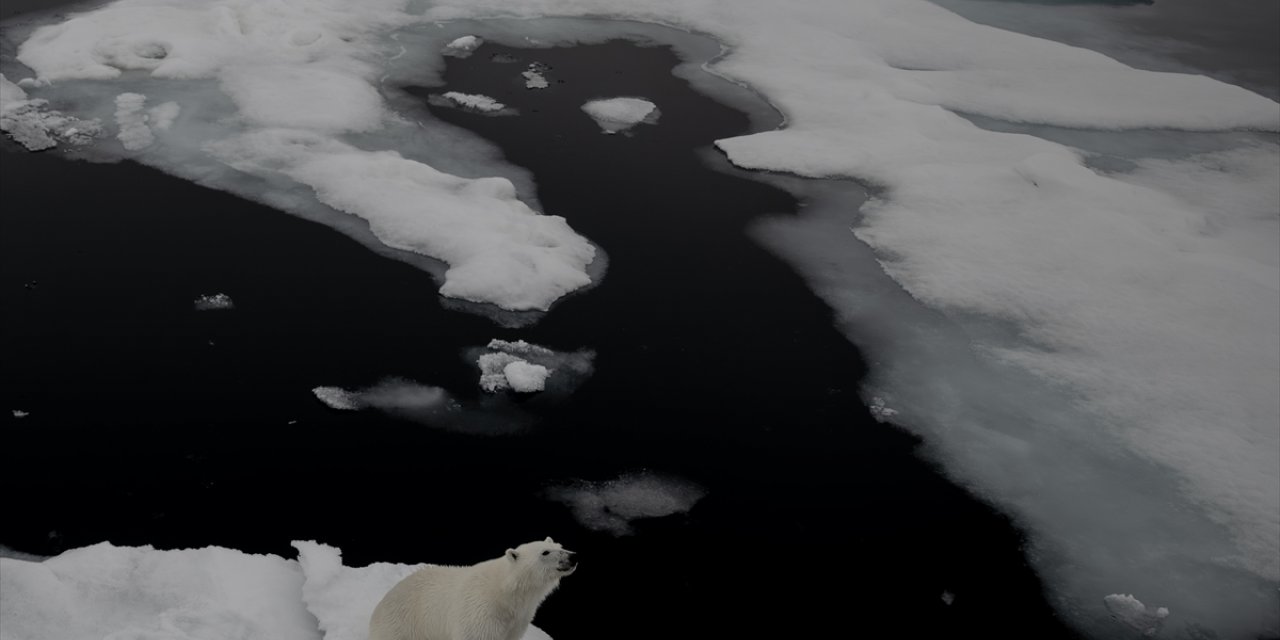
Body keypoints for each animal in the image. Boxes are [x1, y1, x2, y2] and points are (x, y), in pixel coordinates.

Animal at [366, 537, 576, 640]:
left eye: (560, 545)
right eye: (545, 552)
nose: (572, 556)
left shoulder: (516, 621)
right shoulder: (480, 613)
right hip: (401, 627)